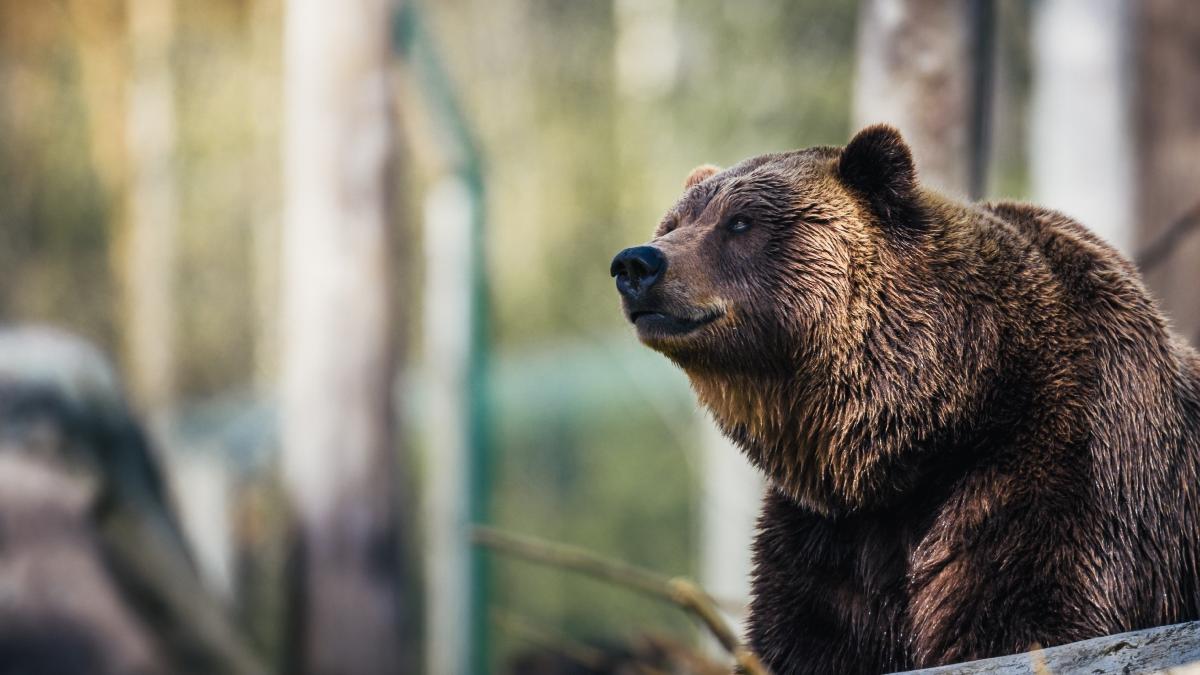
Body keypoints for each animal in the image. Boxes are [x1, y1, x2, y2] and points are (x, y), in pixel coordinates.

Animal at [609, 126, 1200, 672]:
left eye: (739, 222)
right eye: (674, 224)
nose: (637, 264)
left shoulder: (1064, 467)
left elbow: (1027, 615)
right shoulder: (830, 538)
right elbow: (803, 635)